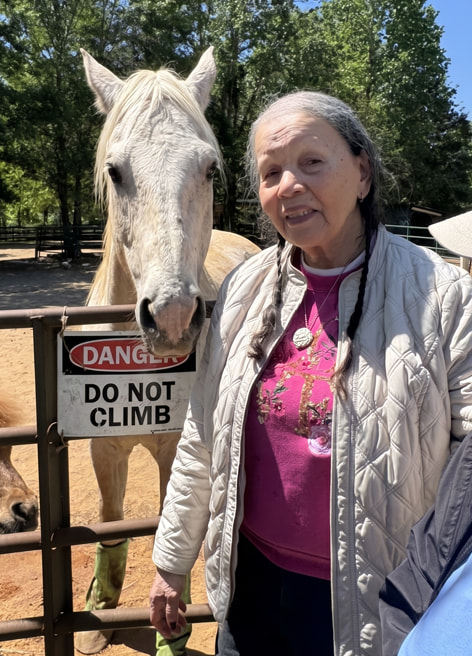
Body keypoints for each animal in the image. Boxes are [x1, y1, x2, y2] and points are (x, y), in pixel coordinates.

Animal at [75, 48, 260, 654]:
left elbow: (167, 526)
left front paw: (171, 633)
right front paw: (98, 617)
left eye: (209, 170)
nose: (174, 315)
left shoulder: (175, 449)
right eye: (115, 171)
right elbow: (111, 522)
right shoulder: (104, 448)